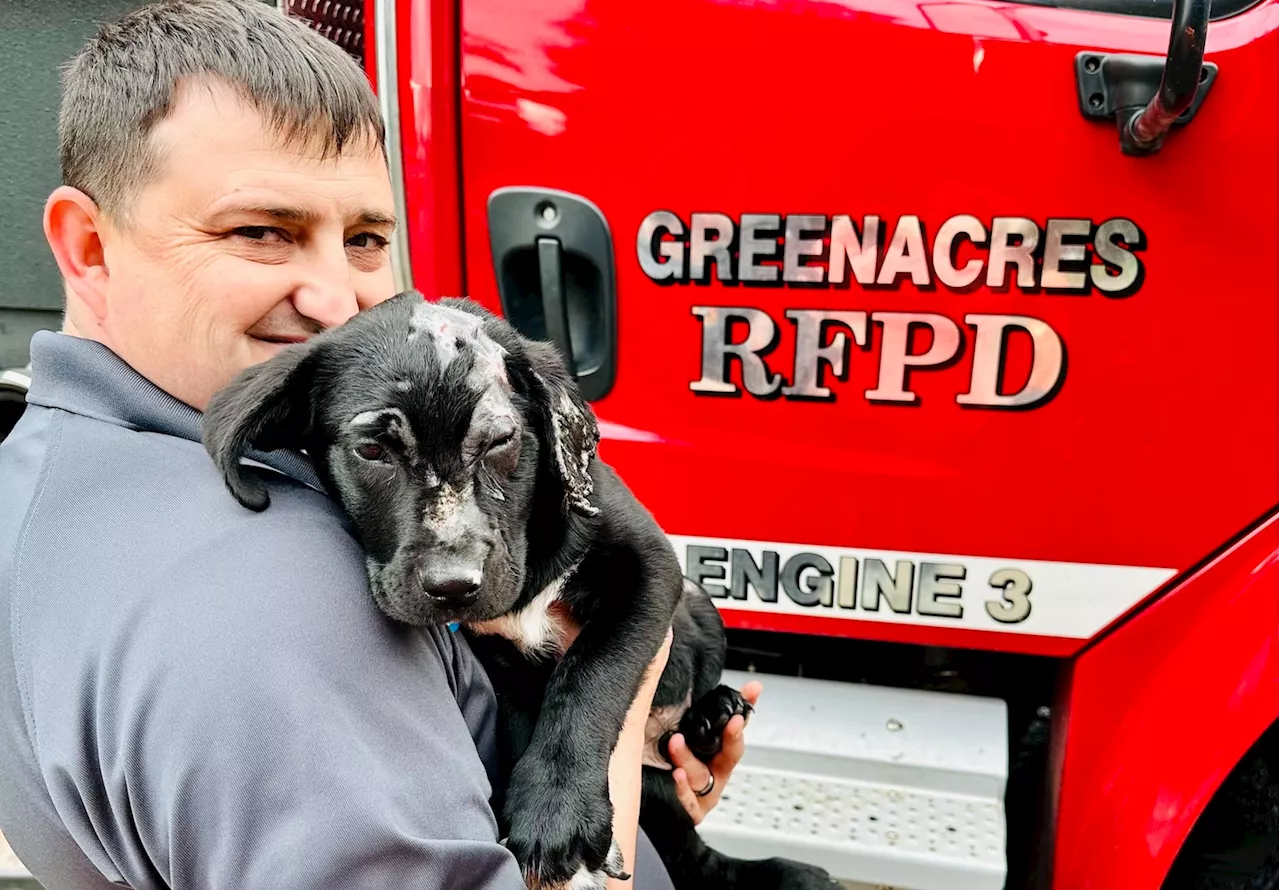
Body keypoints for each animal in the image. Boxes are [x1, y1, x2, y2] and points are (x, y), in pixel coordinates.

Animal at [200, 294, 839, 890]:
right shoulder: (499, 657)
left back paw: (717, 719)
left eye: (499, 442)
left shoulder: (649, 566)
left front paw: (557, 813)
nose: (454, 585)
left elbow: (590, 674)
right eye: (372, 451)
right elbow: (526, 716)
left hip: (700, 606)